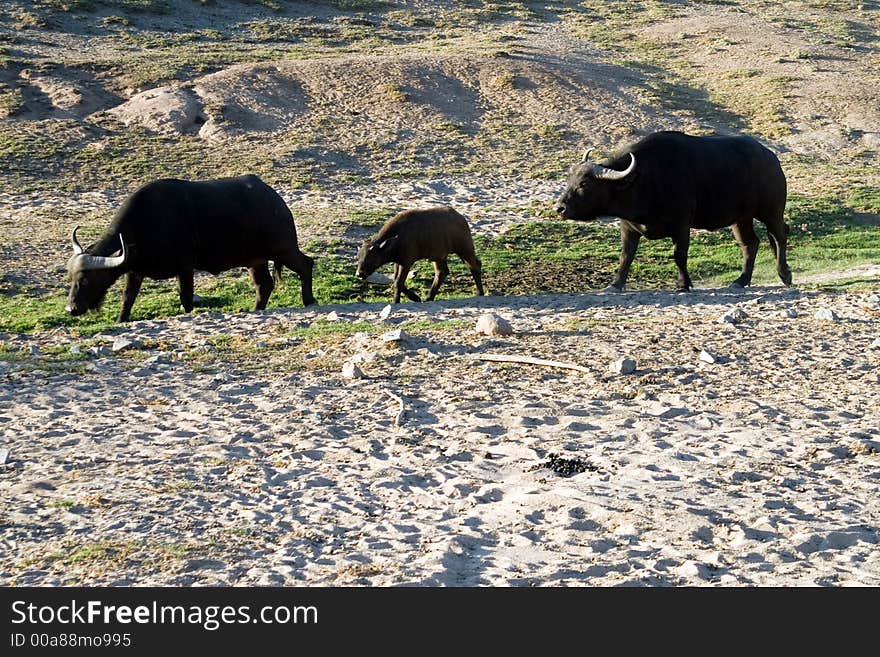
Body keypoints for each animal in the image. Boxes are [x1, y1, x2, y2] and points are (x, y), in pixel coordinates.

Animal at [67, 173, 318, 320]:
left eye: (86, 280)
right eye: (71, 279)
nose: (71, 308)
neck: (146, 223)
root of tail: (277, 201)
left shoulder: (185, 267)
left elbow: (186, 297)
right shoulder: (135, 271)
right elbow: (127, 299)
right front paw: (121, 319)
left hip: (283, 248)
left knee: (306, 264)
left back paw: (309, 300)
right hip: (256, 260)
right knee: (264, 285)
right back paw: (257, 309)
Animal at [556, 131, 792, 290]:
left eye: (585, 184)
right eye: (570, 180)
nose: (560, 208)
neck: (642, 179)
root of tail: (771, 159)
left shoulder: (682, 224)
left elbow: (679, 255)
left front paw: (683, 284)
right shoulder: (628, 227)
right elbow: (626, 256)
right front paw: (615, 284)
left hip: (771, 210)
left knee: (780, 235)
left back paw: (785, 275)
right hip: (740, 218)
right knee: (750, 244)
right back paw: (741, 280)